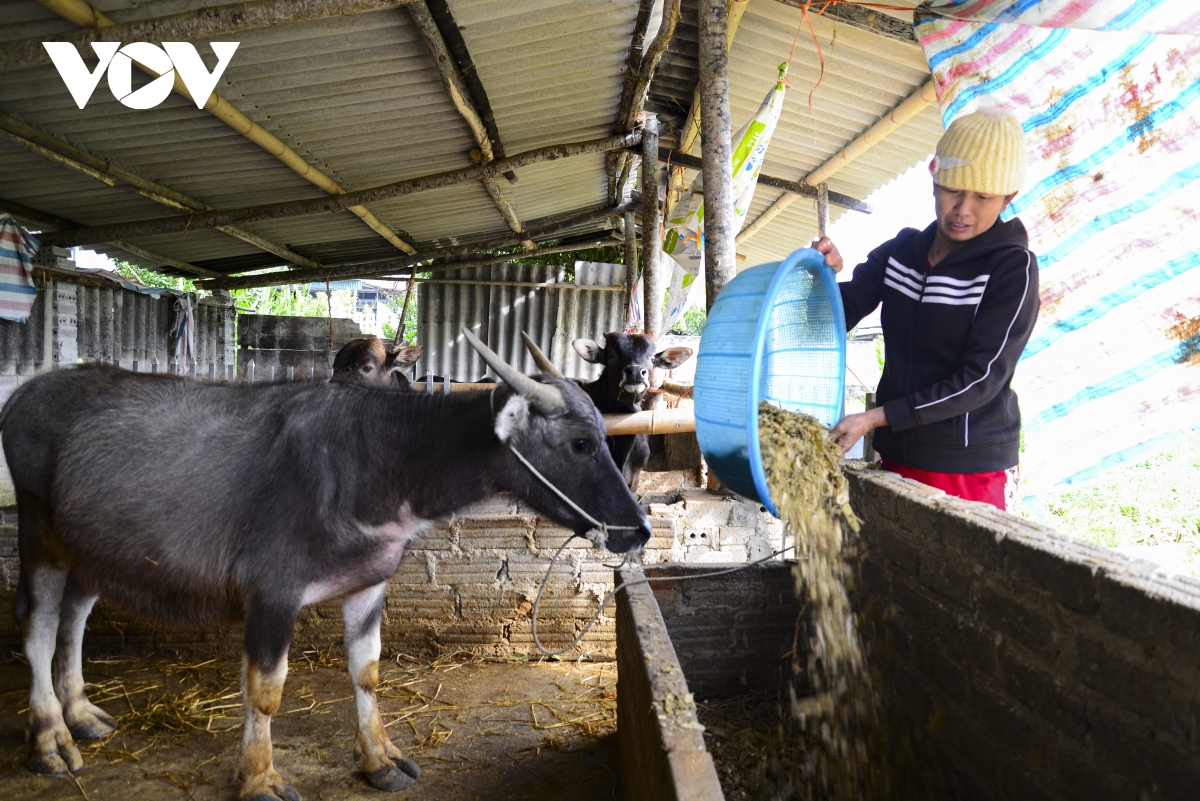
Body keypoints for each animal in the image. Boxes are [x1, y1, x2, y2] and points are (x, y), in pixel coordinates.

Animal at [4, 328, 652, 796]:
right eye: (580, 443)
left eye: (605, 435)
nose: (638, 530)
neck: (379, 461)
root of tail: (22, 398)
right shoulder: (272, 592)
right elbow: (265, 691)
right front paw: (258, 778)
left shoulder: (369, 586)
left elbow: (367, 673)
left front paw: (380, 759)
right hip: (39, 534)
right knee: (36, 628)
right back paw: (49, 740)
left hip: (91, 550)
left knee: (74, 619)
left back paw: (82, 713)